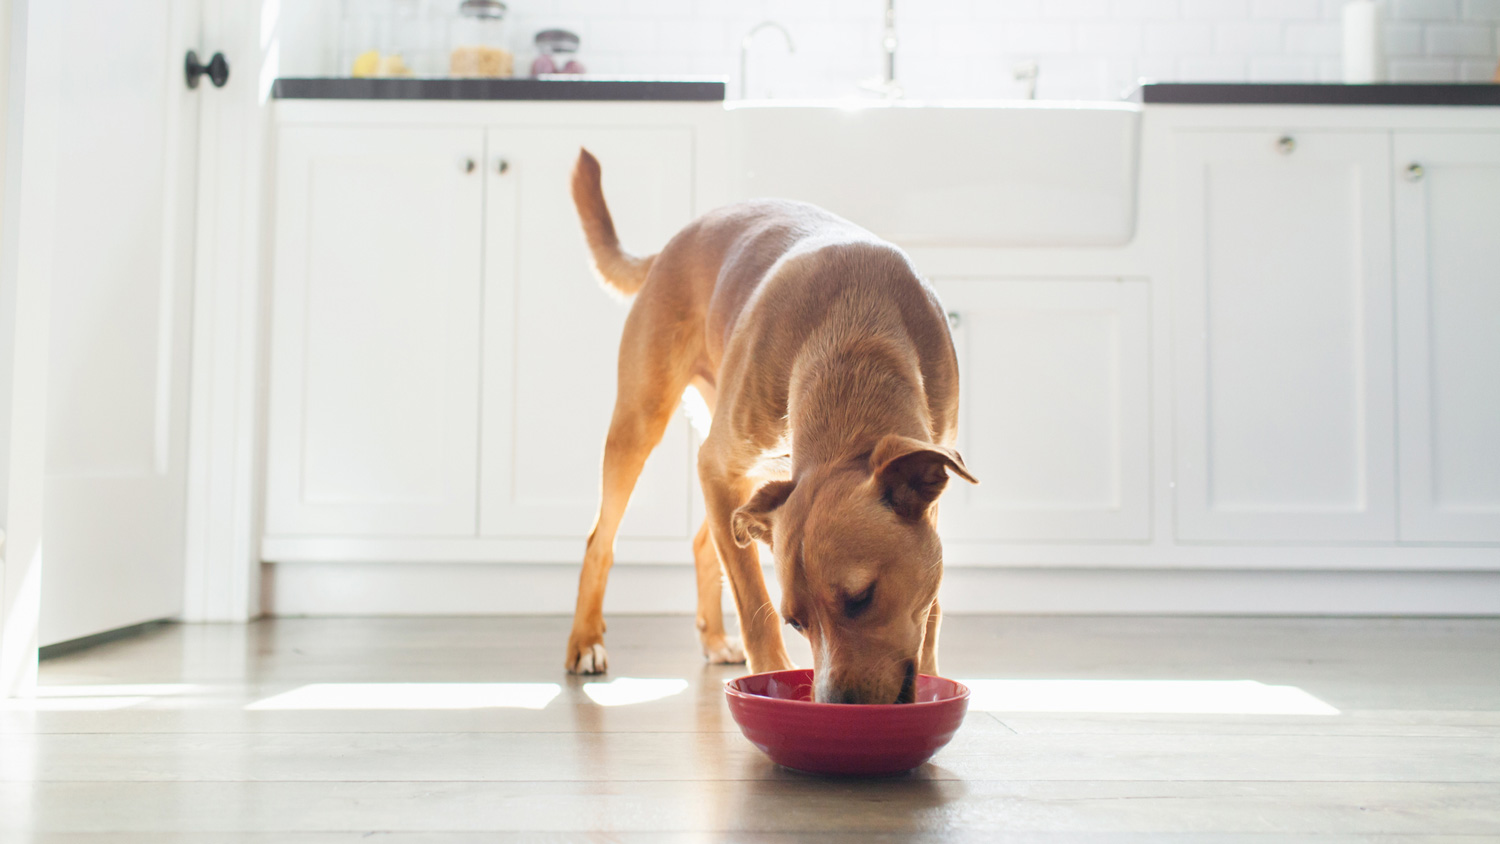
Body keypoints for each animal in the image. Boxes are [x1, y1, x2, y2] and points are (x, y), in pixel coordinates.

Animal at [564, 148, 972, 704]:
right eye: (797, 622)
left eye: (861, 598)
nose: (835, 707)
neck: (855, 341)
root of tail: (670, 245)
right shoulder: (718, 469)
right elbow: (753, 604)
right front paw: (768, 679)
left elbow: (930, 609)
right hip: (641, 423)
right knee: (600, 542)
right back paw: (585, 641)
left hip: (748, 478)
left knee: (704, 543)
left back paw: (714, 639)